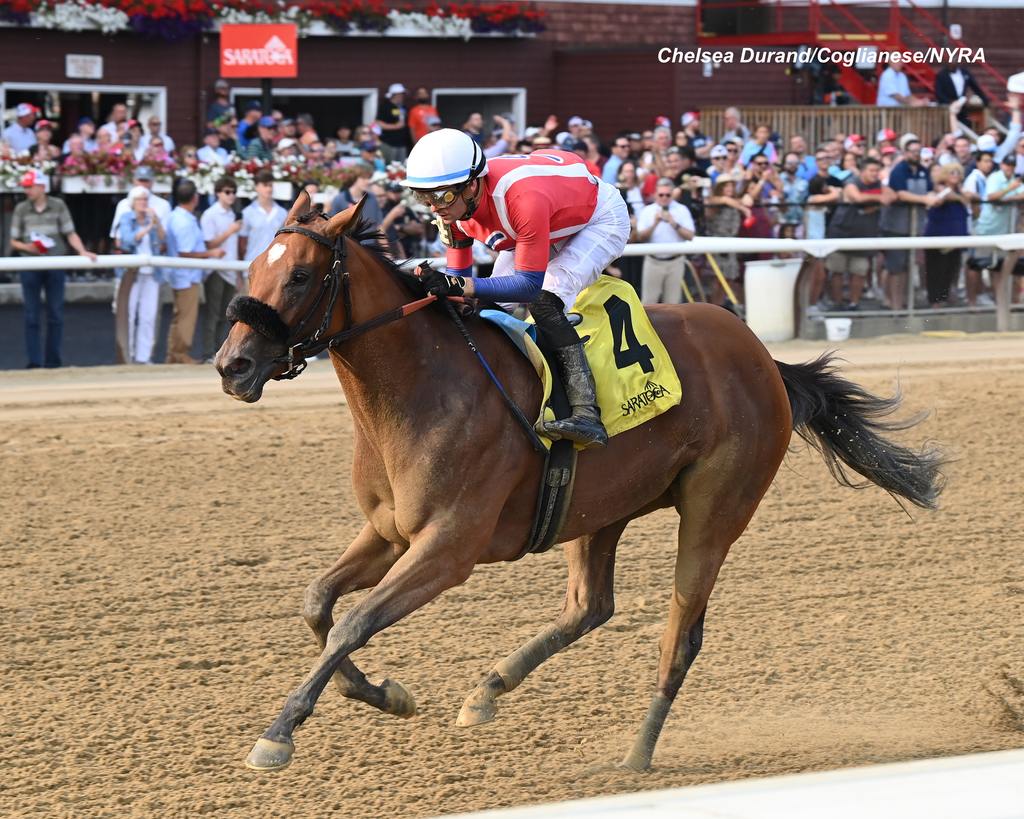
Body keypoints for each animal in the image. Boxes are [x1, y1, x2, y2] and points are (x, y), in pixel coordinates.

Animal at [216, 193, 942, 773]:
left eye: (300, 274)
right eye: (251, 270)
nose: (231, 365)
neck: (423, 386)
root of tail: (764, 357)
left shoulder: (449, 547)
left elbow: (354, 621)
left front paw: (279, 732)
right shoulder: (390, 531)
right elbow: (318, 603)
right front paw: (385, 694)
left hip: (715, 510)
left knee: (680, 633)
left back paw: (637, 752)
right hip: (598, 508)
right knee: (591, 606)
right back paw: (487, 691)